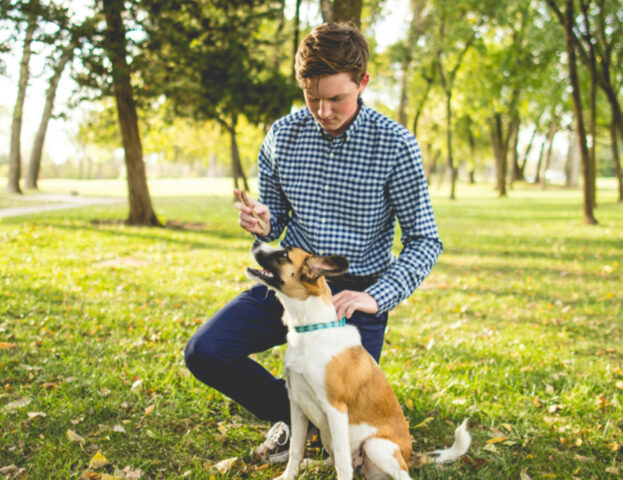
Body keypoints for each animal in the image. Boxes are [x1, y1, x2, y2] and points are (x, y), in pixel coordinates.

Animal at [246, 242, 470, 480]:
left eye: (284, 254)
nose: (255, 242)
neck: (311, 331)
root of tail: (408, 457)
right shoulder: (297, 403)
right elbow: (295, 450)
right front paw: (288, 475)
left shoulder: (335, 410)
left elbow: (343, 464)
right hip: (328, 435)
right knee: (333, 460)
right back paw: (312, 464)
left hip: (375, 446)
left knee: (392, 473)